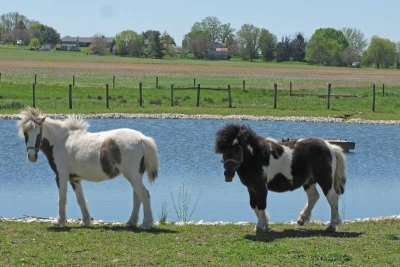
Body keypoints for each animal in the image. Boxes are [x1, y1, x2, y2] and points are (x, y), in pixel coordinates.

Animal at [17, 108, 159, 229]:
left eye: (39, 133)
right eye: (25, 133)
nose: (32, 157)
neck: (60, 141)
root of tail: (141, 138)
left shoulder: (61, 176)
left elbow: (62, 198)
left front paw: (59, 221)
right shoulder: (74, 178)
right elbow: (81, 199)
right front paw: (85, 222)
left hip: (132, 175)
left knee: (144, 194)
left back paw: (146, 224)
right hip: (135, 176)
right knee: (137, 197)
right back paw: (131, 222)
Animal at [216, 125, 346, 232]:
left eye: (236, 149)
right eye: (223, 151)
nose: (228, 175)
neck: (256, 157)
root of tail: (330, 146)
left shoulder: (261, 187)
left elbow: (261, 204)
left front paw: (260, 226)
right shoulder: (251, 187)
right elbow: (253, 205)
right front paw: (265, 224)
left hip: (325, 179)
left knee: (332, 198)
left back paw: (332, 225)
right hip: (309, 181)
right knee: (313, 197)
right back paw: (301, 220)